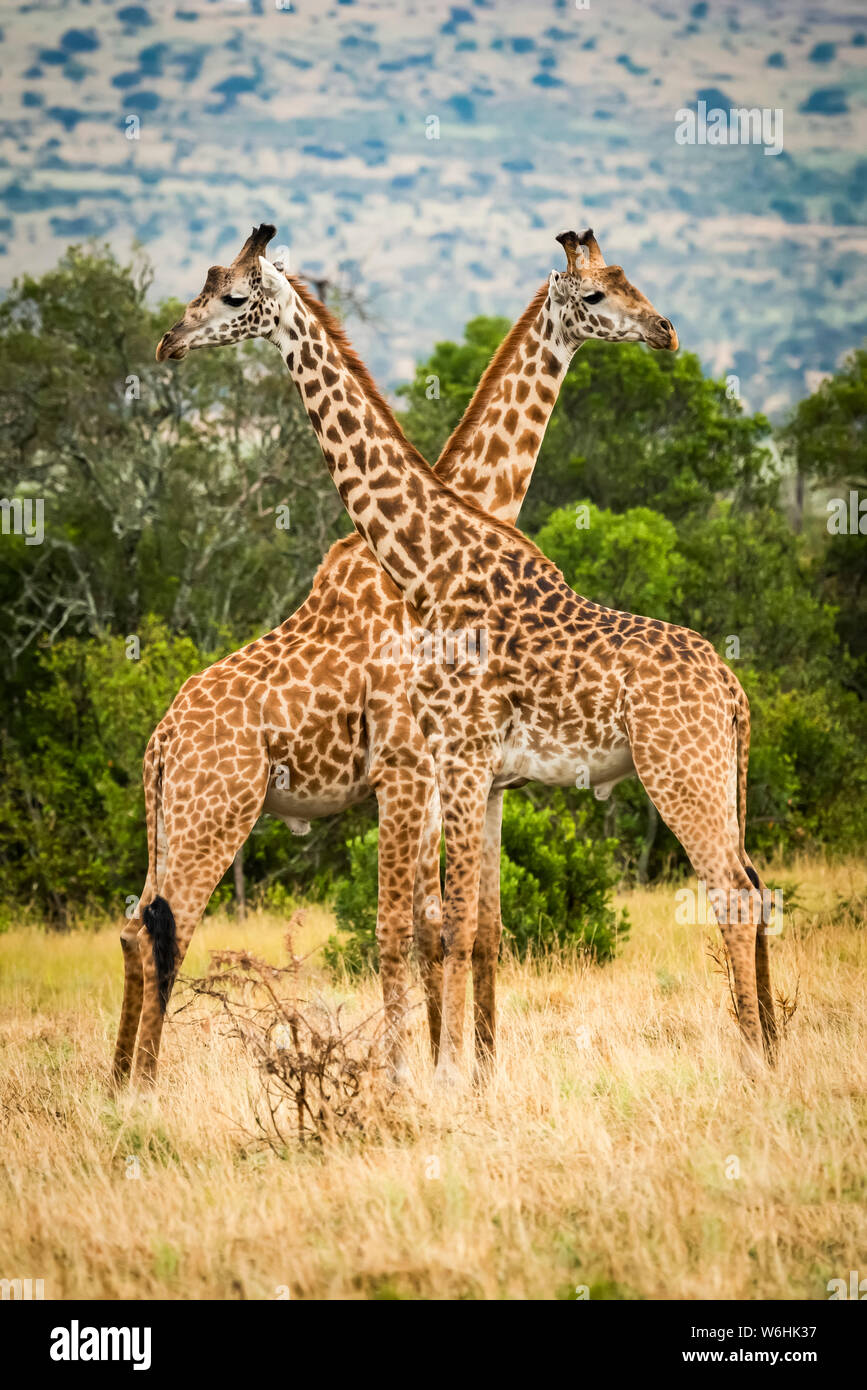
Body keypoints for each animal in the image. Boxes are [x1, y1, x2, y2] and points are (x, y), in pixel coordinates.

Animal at [118, 225, 678, 1084]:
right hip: (213, 814)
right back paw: (141, 1090)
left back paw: (122, 1082)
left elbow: (462, 927)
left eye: (625, 282)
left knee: (134, 927)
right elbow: (414, 928)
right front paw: (415, 1075)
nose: (663, 330)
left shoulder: (467, 777)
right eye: (595, 294)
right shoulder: (410, 771)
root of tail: (158, 743)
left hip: (176, 820)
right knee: (163, 931)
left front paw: (465, 1070)